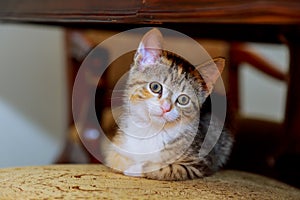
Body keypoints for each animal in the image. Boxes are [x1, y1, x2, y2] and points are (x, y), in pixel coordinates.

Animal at [102, 28, 233, 181]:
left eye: (183, 100)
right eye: (155, 87)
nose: (166, 108)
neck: (151, 131)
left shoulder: (200, 162)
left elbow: (164, 168)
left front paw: (137, 168)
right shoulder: (116, 147)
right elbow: (115, 159)